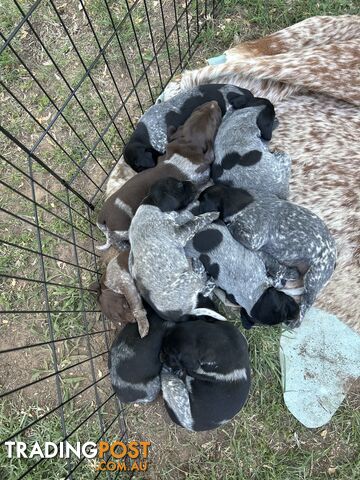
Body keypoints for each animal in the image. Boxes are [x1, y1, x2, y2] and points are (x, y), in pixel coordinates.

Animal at [95, 101, 222, 251]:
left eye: (198, 110)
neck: (187, 149)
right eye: (213, 120)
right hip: (124, 230)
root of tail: (102, 217)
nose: (214, 103)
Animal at [129, 177, 225, 322]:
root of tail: (182, 315)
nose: (191, 181)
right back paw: (207, 276)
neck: (152, 205)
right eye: (179, 185)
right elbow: (195, 221)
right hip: (190, 278)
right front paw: (211, 214)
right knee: (204, 289)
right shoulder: (180, 234)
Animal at [198, 186, 336, 324]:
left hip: (313, 278)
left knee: (304, 303)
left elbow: (232, 227)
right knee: (280, 281)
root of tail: (334, 258)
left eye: (202, 201)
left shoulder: (254, 239)